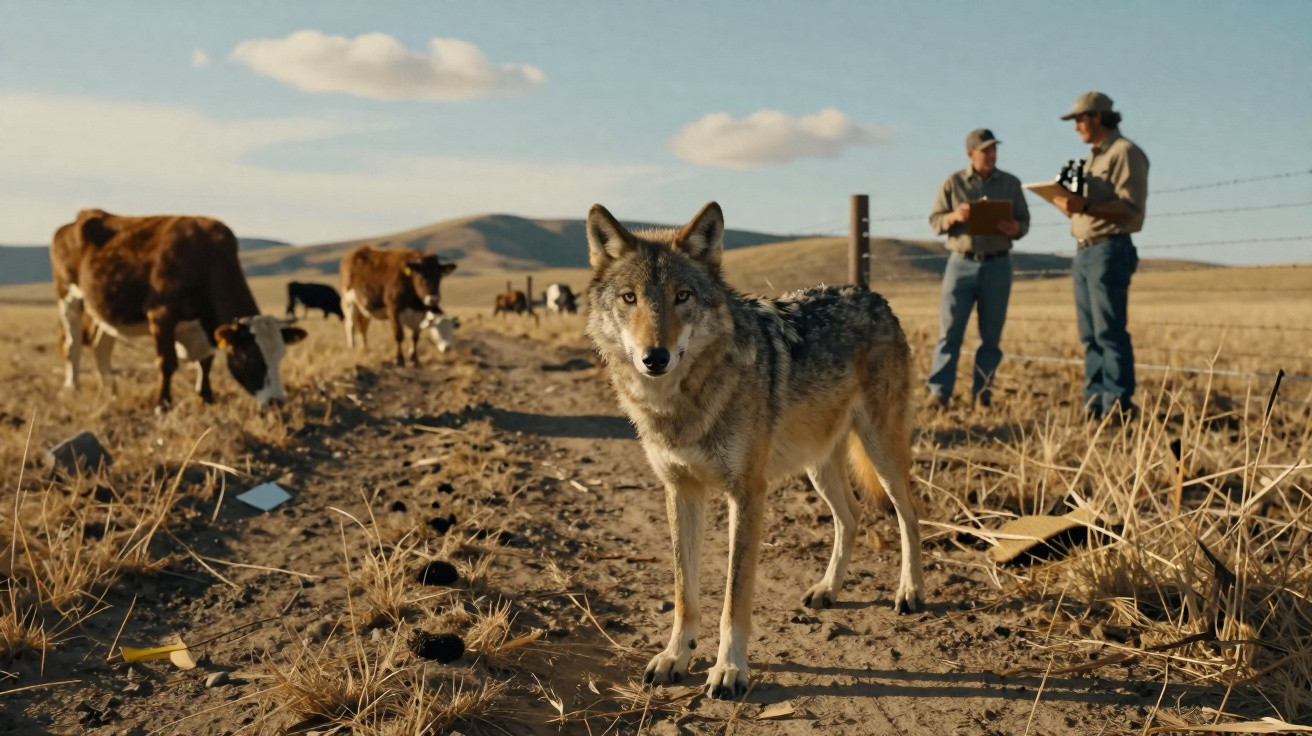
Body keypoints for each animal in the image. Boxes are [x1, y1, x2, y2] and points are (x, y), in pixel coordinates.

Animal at [51, 208, 307, 412]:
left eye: (280, 355)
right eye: (253, 355)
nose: (276, 402)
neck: (203, 257)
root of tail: (78, 219)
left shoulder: (204, 329)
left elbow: (206, 362)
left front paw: (206, 398)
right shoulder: (161, 315)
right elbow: (167, 362)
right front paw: (161, 404)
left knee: (101, 347)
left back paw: (111, 390)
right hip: (69, 299)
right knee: (72, 346)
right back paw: (73, 388)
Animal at [585, 202, 924, 699]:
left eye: (683, 296)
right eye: (630, 298)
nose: (655, 357)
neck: (683, 404)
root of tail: (872, 295)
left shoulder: (747, 493)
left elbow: (734, 597)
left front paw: (729, 669)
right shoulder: (681, 490)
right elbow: (684, 593)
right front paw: (675, 656)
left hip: (881, 451)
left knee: (909, 515)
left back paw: (911, 592)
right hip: (817, 464)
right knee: (852, 516)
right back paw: (828, 589)